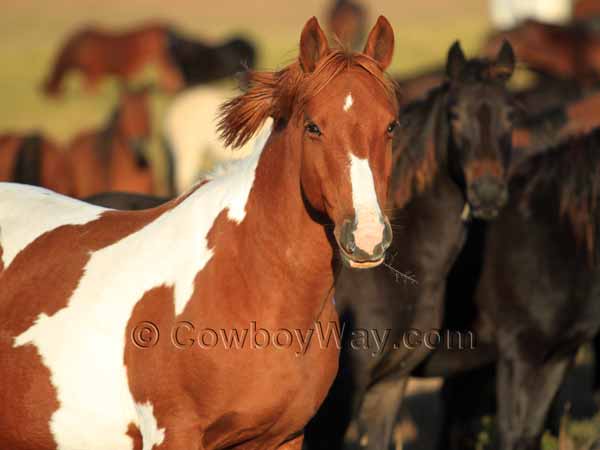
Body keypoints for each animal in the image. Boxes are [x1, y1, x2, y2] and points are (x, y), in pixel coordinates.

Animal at [42, 22, 183, 95]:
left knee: (171, 79)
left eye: (49, 94)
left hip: (163, 62)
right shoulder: (92, 75)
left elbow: (90, 92)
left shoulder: (92, 74)